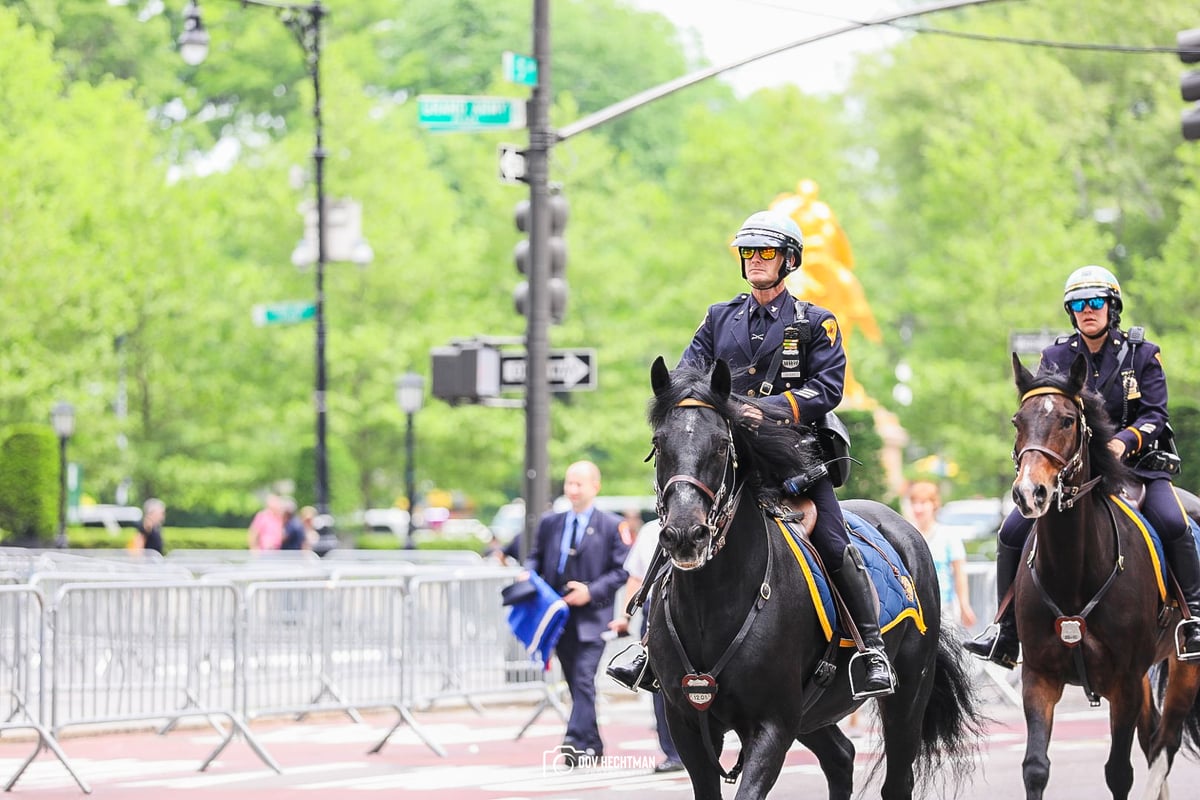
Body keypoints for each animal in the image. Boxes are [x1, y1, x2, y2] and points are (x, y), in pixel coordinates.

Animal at [643, 357, 979, 800]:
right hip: (813, 712)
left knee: (895, 780)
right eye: (660, 443)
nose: (685, 534)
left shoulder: (772, 724)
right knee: (841, 757)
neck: (712, 605)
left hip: (907, 696)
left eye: (720, 444)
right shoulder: (688, 727)